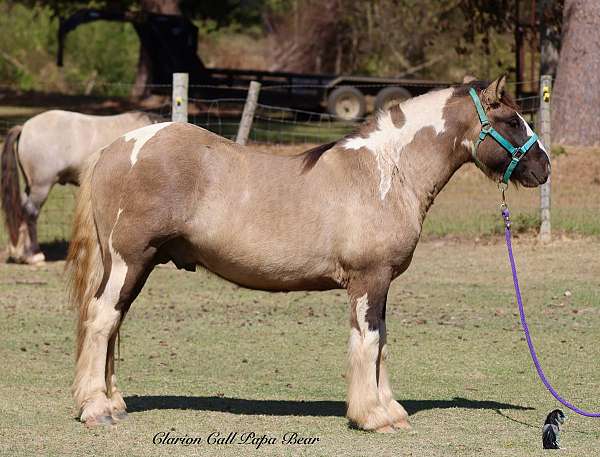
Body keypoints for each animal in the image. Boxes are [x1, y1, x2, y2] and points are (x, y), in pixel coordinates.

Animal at [0, 108, 159, 262]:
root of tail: (24, 128)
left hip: (31, 186)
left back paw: (21, 253)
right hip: (41, 186)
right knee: (31, 212)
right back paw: (34, 254)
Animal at [67, 75, 548, 432]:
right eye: (510, 120)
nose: (542, 166)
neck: (387, 172)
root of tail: (116, 148)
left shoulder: (379, 284)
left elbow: (380, 342)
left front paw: (388, 410)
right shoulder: (369, 279)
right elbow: (369, 341)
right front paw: (373, 416)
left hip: (134, 266)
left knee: (112, 324)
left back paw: (113, 402)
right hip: (130, 261)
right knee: (103, 320)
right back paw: (96, 409)